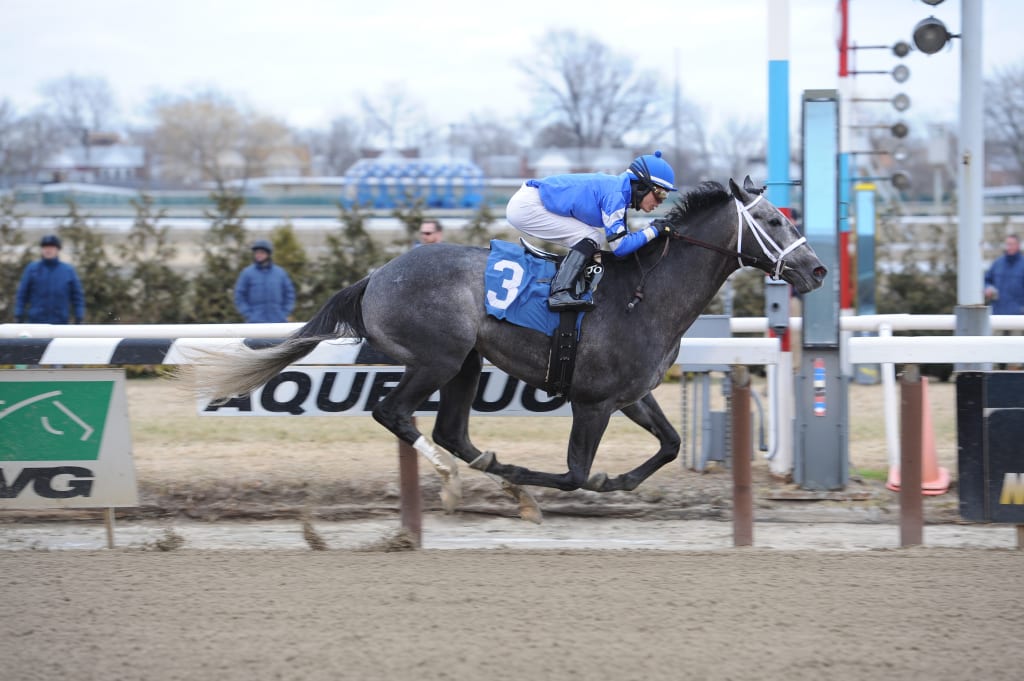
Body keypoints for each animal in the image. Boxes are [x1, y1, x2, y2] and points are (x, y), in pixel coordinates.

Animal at [195, 176, 827, 520]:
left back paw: (486, 472)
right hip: (438, 358)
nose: (817, 269)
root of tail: (377, 275)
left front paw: (616, 482)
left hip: (466, 362)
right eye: (773, 220)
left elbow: (670, 444)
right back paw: (456, 479)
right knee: (394, 412)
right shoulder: (593, 402)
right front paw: (559, 484)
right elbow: (574, 474)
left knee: (450, 430)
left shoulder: (631, 394)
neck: (645, 293)